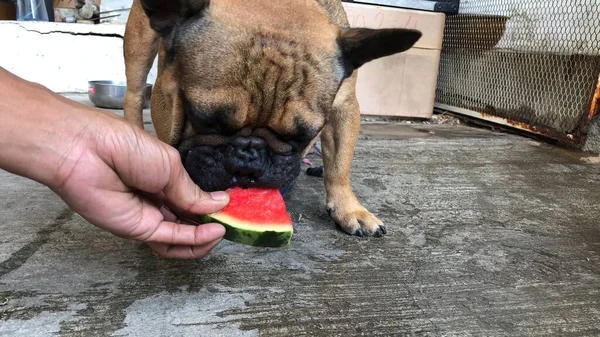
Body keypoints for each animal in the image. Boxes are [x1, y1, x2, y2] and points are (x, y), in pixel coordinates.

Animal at [122, 0, 422, 236]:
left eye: (301, 136)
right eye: (205, 120)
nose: (248, 158)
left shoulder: (345, 105)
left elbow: (340, 164)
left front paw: (349, 209)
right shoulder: (166, 95)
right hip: (139, 46)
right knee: (134, 95)